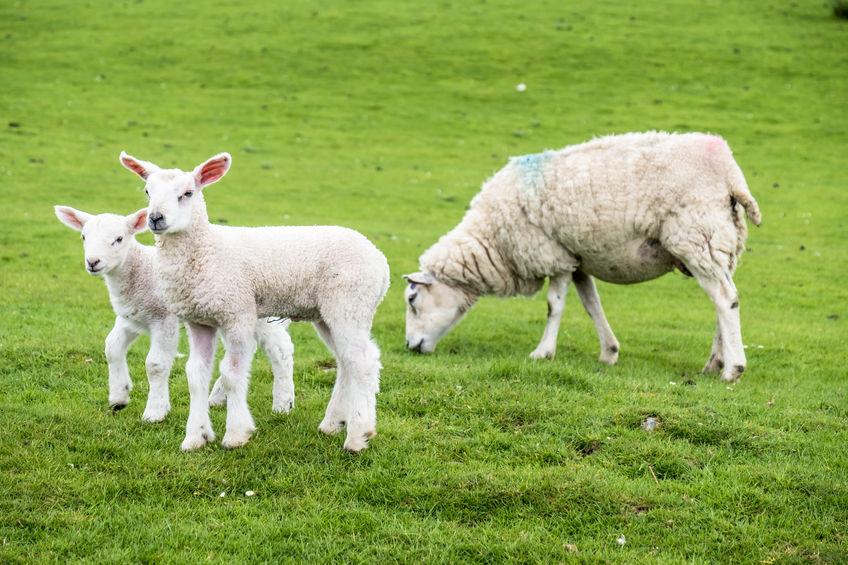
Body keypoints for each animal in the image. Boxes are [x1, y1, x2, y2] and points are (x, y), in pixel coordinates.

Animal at [53, 205, 296, 416]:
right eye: (84, 237)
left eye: (119, 239)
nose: (93, 262)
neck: (140, 272)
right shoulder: (131, 317)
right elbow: (111, 347)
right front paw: (118, 396)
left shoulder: (163, 318)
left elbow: (155, 364)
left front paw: (155, 410)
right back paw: (218, 397)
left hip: (260, 314)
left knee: (280, 349)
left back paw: (283, 403)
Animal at [120, 150, 390, 450]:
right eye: (148, 191)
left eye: (188, 193)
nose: (156, 218)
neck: (207, 250)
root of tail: (380, 260)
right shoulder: (199, 320)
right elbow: (196, 375)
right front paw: (195, 437)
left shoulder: (237, 313)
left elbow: (231, 373)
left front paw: (236, 434)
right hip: (327, 314)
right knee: (346, 362)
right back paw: (333, 424)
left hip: (349, 304)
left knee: (363, 362)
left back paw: (358, 435)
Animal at [404, 131, 760, 384]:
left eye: (412, 299)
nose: (410, 347)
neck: (493, 238)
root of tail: (729, 171)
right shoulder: (576, 259)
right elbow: (592, 305)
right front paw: (609, 352)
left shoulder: (552, 254)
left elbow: (554, 306)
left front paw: (542, 352)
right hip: (719, 243)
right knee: (723, 302)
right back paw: (714, 363)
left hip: (697, 235)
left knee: (725, 299)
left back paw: (733, 369)